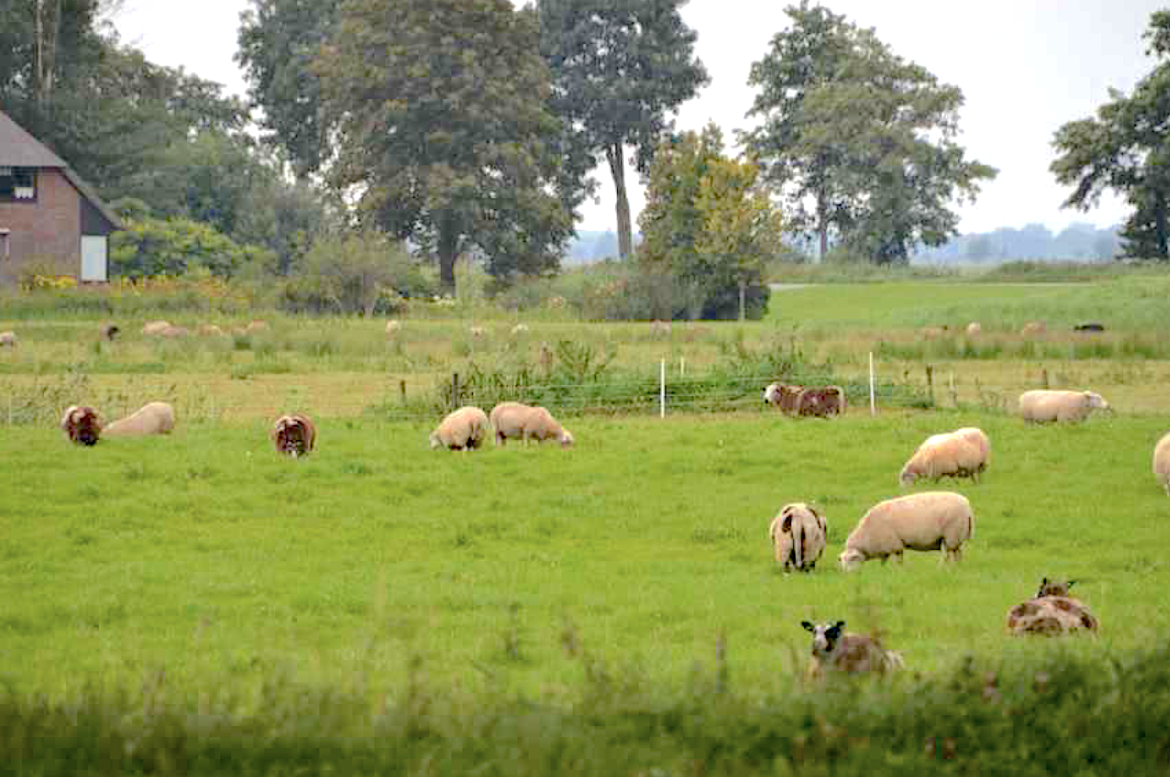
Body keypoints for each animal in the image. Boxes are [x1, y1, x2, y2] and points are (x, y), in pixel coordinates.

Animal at [837, 491, 973, 571]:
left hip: (950, 534)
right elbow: (883, 561)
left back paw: (940, 568)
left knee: (946, 555)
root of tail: (967, 506)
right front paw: (882, 570)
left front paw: (899, 570)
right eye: (841, 561)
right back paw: (957, 567)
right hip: (956, 536)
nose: (846, 576)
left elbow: (898, 559)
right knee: (958, 553)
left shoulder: (894, 544)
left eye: (851, 560)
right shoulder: (884, 546)